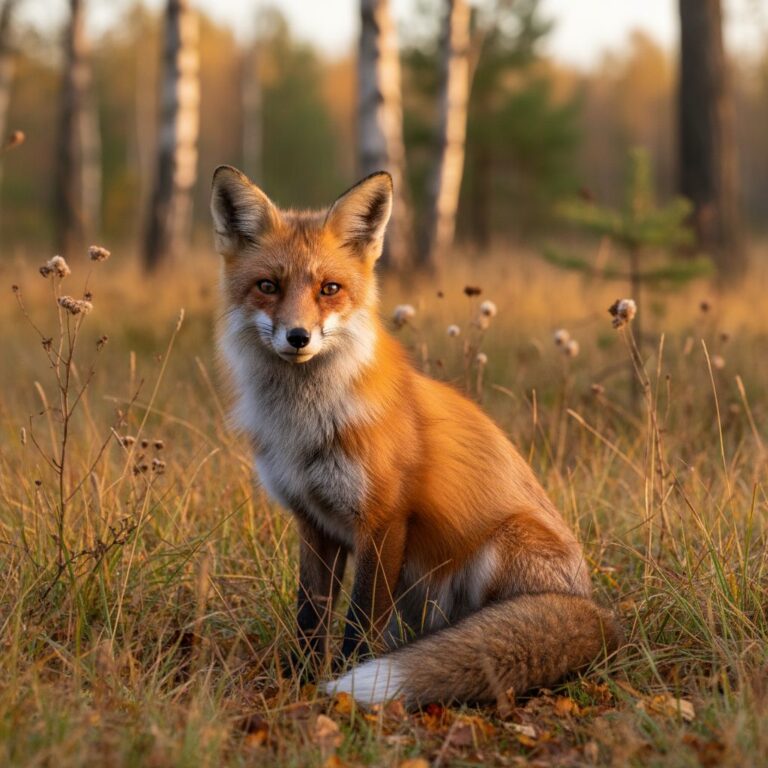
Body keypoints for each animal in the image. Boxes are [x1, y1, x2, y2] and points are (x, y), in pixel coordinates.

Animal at [210, 165, 621, 707]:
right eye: (268, 286)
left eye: (329, 288)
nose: (298, 337)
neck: (306, 425)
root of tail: (594, 610)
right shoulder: (314, 524)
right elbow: (310, 618)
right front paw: (297, 683)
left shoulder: (383, 521)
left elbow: (358, 622)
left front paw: (342, 690)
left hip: (497, 546)